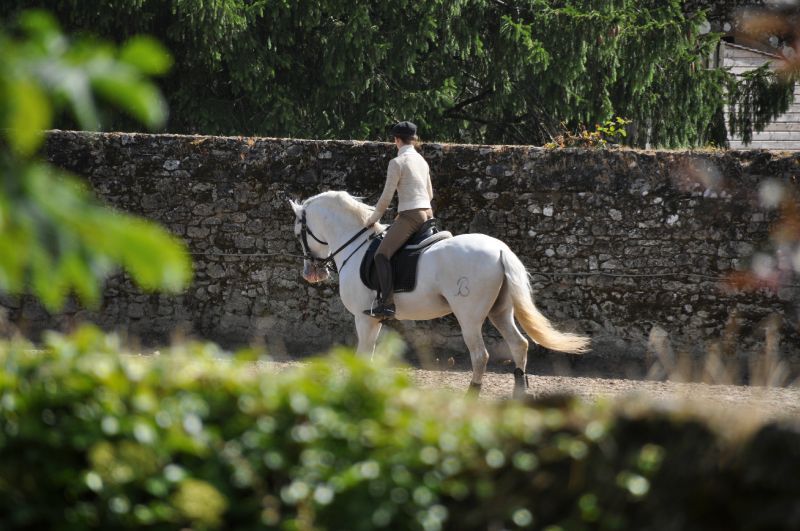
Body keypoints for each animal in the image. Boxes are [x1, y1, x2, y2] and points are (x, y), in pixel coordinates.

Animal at [290, 193, 592, 396]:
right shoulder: (373, 320)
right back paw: (520, 393)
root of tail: (500, 250)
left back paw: (472, 393)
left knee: (480, 355)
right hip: (500, 312)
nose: (311, 273)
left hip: (469, 317)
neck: (356, 245)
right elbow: (370, 353)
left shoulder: (364, 318)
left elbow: (363, 353)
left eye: (297, 233)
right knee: (519, 345)